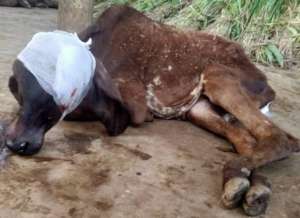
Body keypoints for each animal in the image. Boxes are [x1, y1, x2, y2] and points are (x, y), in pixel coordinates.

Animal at [5, 4, 300, 216]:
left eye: (55, 96)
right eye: (20, 92)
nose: (15, 143)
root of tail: (266, 83)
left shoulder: (136, 108)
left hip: (218, 76)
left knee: (278, 137)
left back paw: (244, 182)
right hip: (199, 109)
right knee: (249, 138)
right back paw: (248, 186)